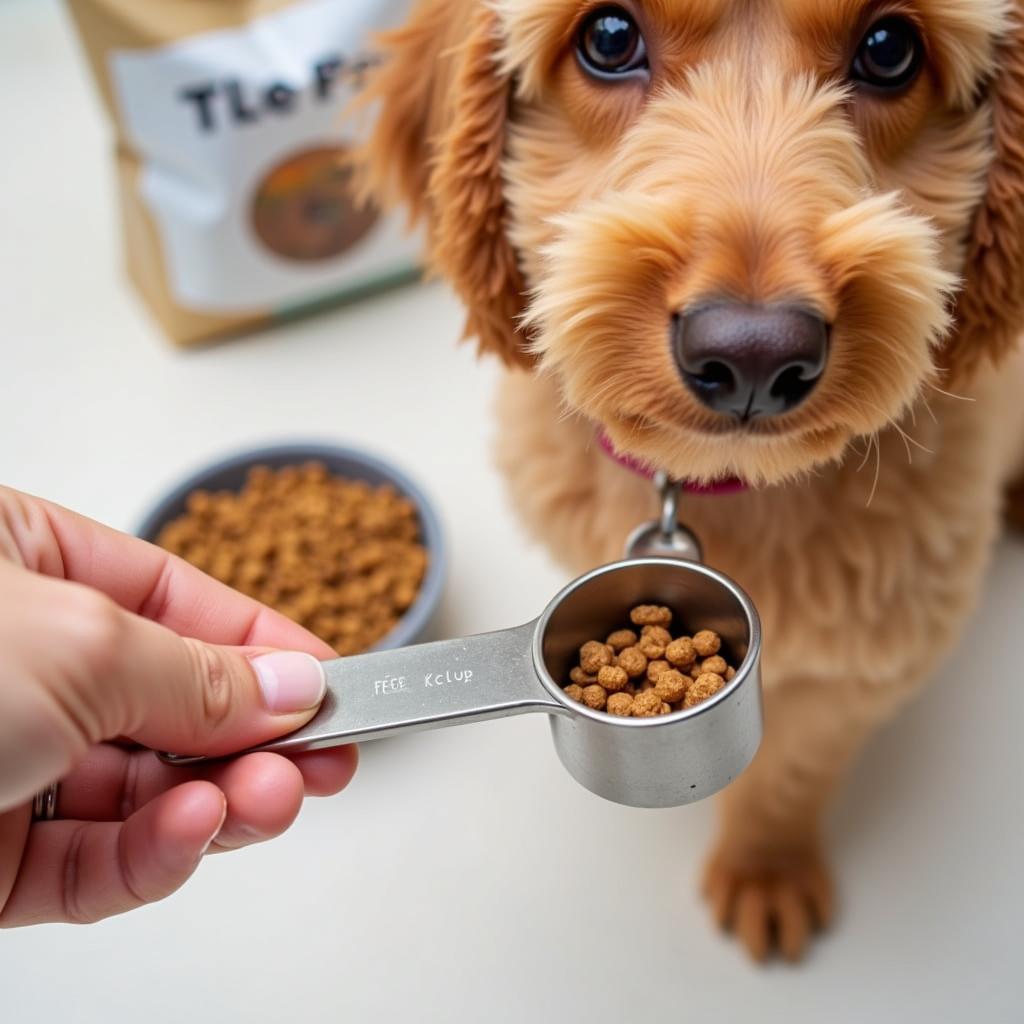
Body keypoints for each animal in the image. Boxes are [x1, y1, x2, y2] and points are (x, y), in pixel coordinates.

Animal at [358, 0, 1024, 958]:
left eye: (890, 48)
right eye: (607, 38)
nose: (753, 356)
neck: (723, 486)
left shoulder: (872, 657)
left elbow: (792, 769)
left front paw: (765, 868)